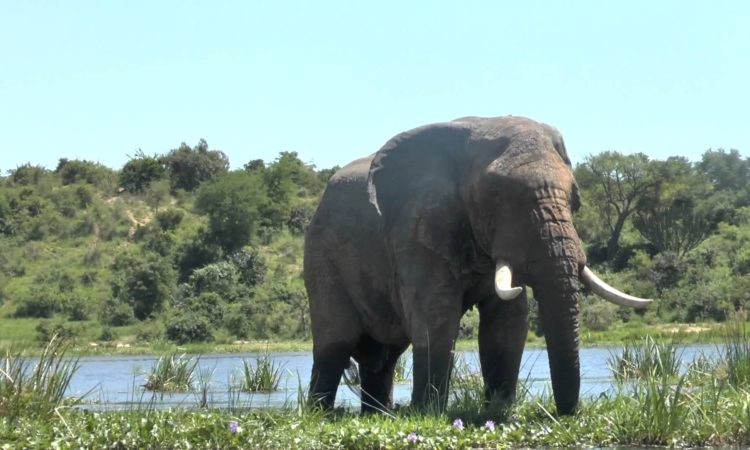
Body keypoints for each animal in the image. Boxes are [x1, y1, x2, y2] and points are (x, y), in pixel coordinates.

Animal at [303, 115, 651, 415]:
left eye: (575, 198)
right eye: (495, 195)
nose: (564, 414)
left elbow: (507, 323)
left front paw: (500, 409)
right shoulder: (414, 230)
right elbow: (437, 317)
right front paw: (428, 412)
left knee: (384, 357)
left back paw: (378, 413)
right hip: (320, 253)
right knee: (335, 342)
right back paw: (321, 414)